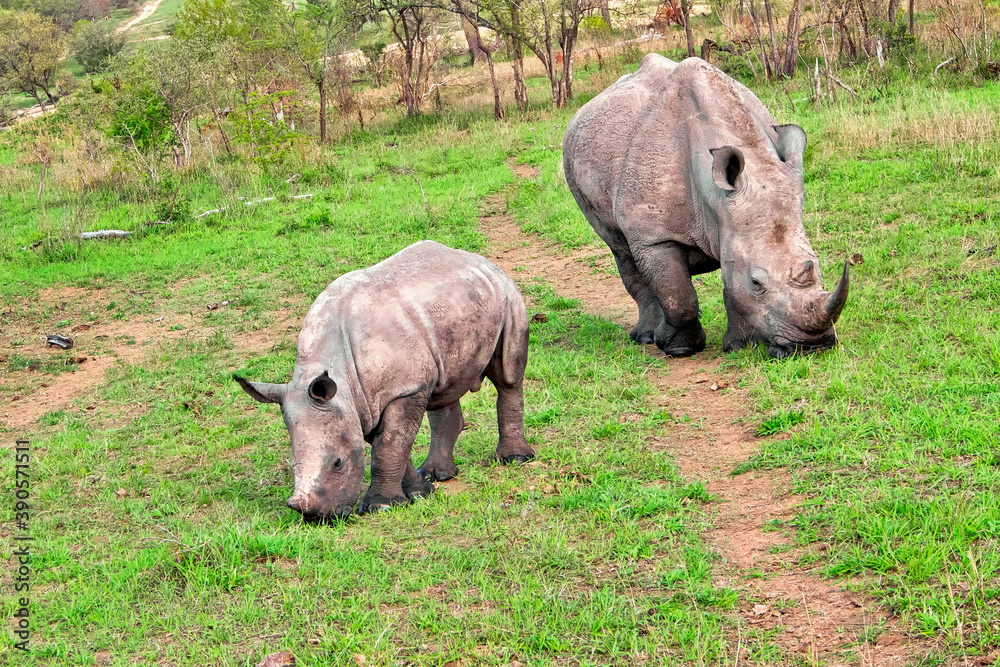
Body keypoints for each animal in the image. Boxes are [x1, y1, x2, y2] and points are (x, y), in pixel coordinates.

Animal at [235, 241, 534, 520]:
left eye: (338, 463)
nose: (313, 515)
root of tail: (480, 259)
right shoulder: (363, 401)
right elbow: (393, 444)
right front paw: (419, 493)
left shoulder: (403, 390)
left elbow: (389, 446)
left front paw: (381, 507)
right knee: (442, 389)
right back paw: (437, 475)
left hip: (508, 296)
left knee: (508, 377)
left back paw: (515, 459)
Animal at [563, 54, 848, 358]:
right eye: (756, 283)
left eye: (815, 265)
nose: (812, 347)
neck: (717, 203)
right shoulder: (654, 237)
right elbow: (679, 296)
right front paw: (680, 349)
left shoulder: (733, 221)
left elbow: (729, 284)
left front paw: (737, 346)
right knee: (621, 249)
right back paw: (646, 337)